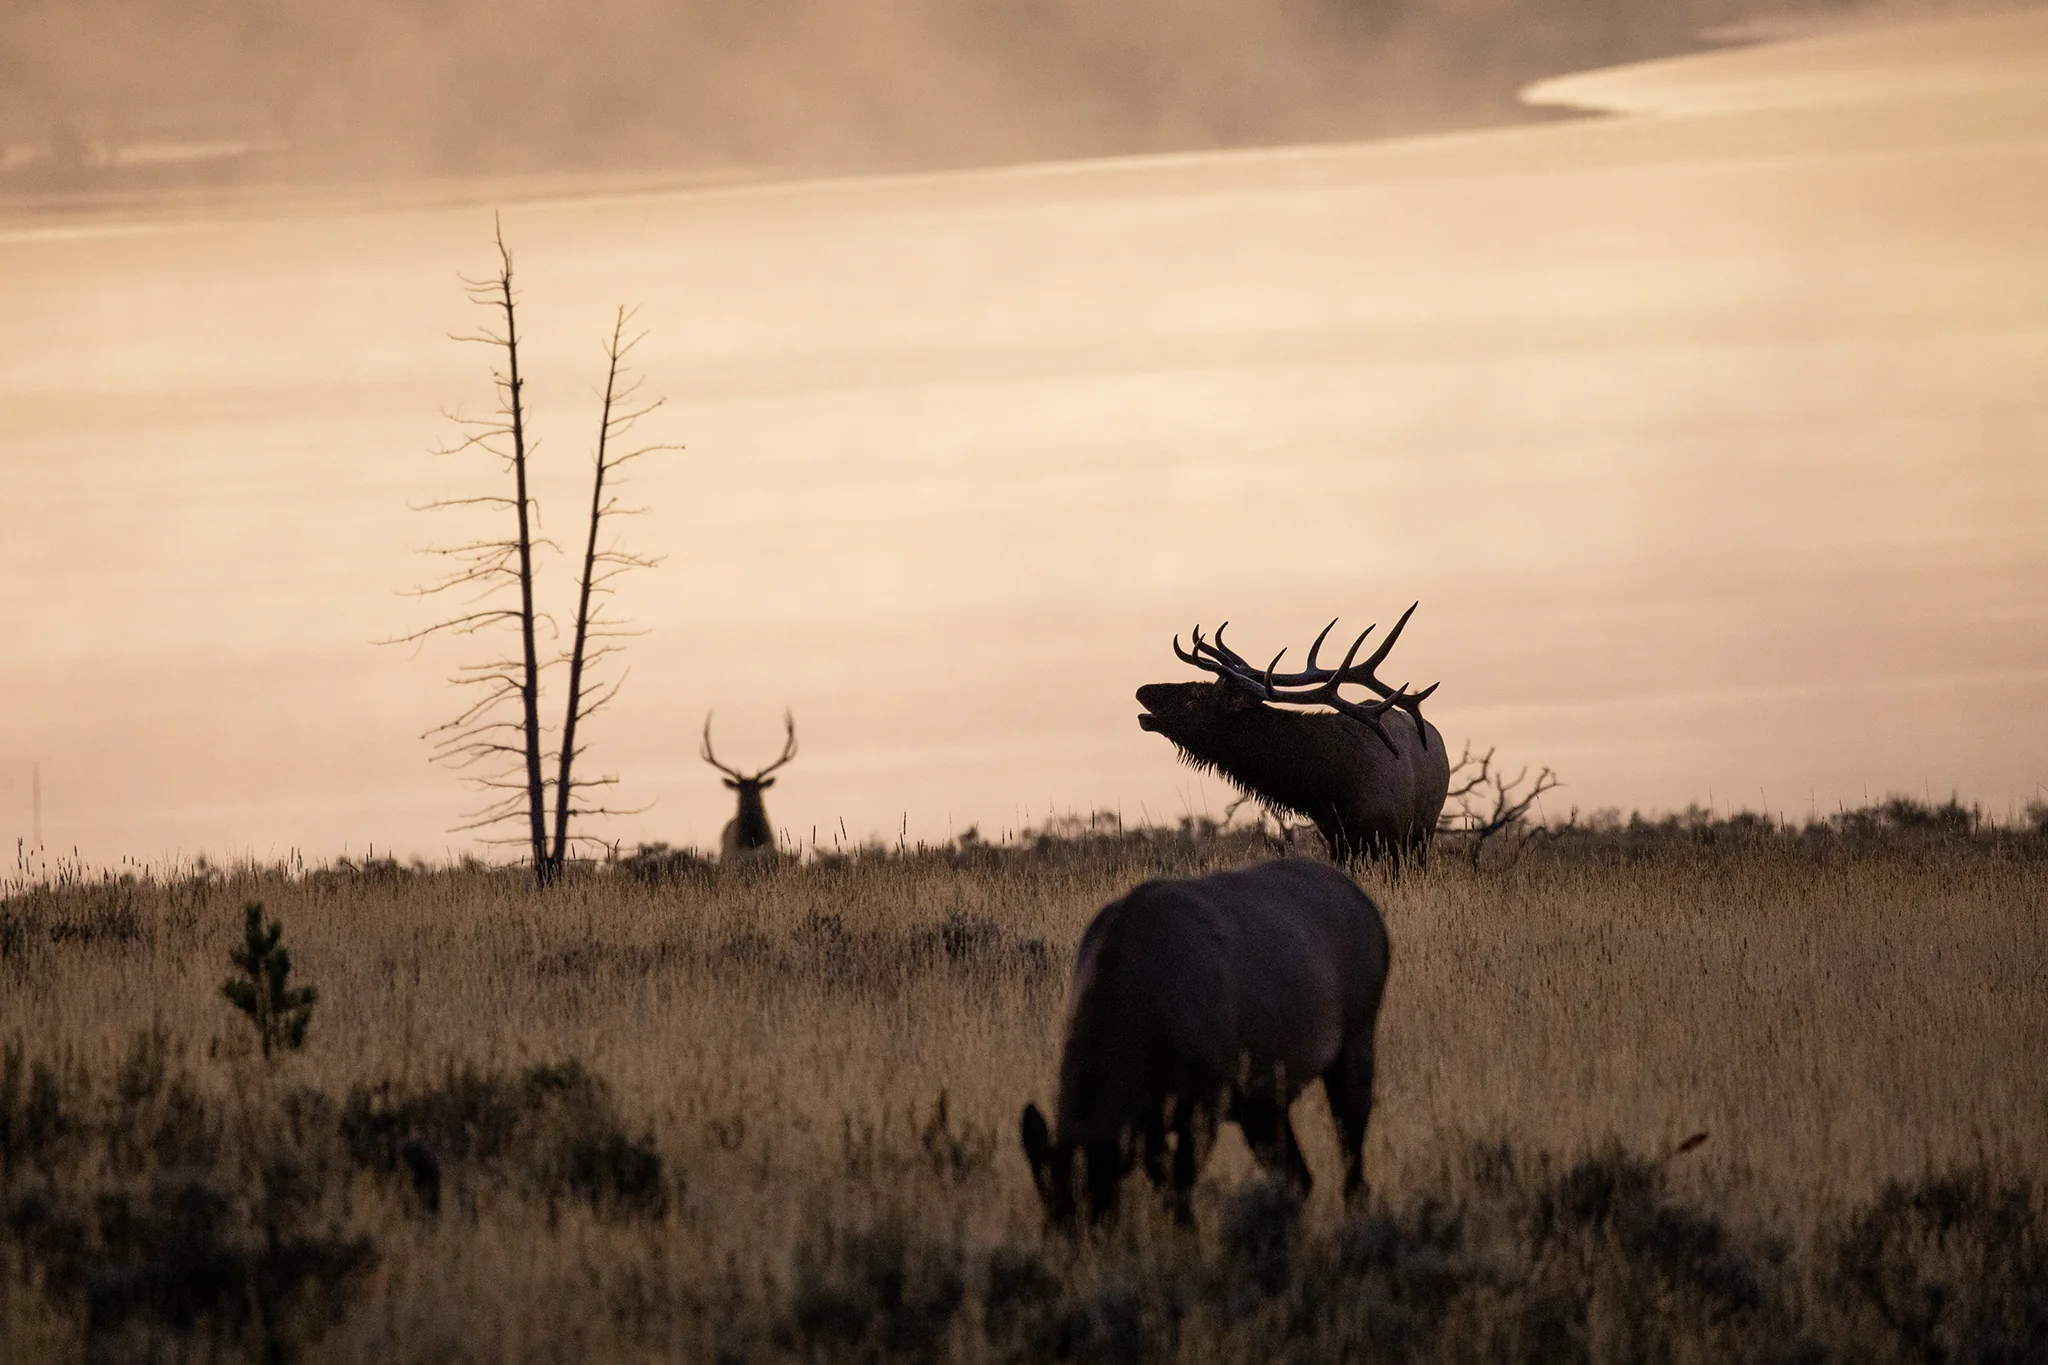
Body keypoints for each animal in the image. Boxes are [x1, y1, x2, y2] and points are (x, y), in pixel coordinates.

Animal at [1020, 859, 1391, 1228]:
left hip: (1355, 1046)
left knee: (1353, 1163)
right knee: (1299, 1179)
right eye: (1047, 1201)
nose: (1067, 1237)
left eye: (1098, 1201)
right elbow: (1168, 1187)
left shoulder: (1204, 1104)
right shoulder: (1152, 1126)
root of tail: (1372, 914)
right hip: (1261, 1105)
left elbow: (1181, 1191)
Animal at [1135, 603, 1450, 863]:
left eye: (1196, 696)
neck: (1332, 786)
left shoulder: (1389, 835)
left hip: (1423, 832)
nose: (1142, 690)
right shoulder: (1336, 839)